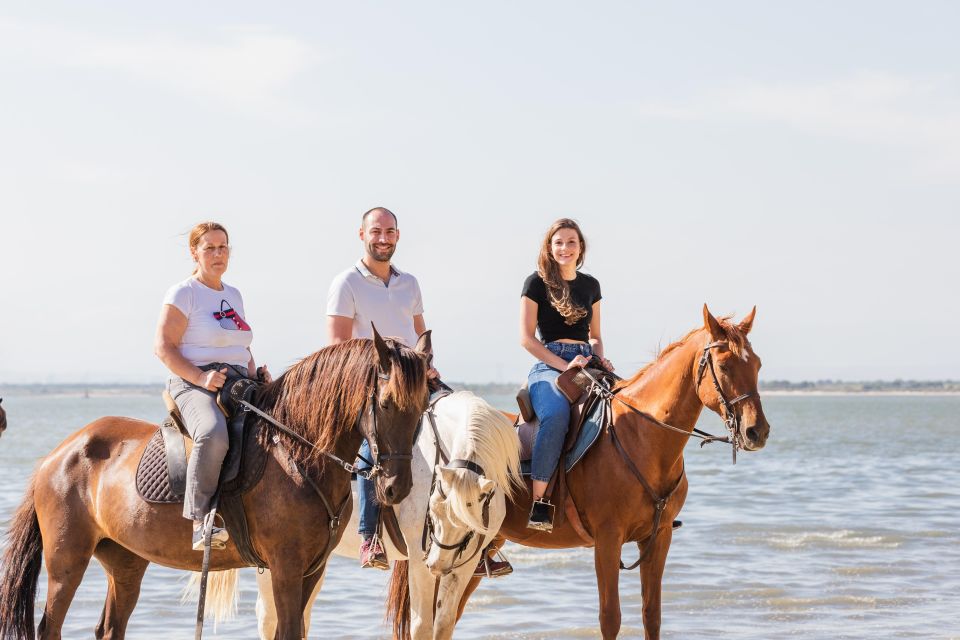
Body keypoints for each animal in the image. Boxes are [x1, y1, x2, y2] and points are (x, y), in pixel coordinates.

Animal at [0, 332, 428, 640]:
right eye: (385, 404)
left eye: (423, 405)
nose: (396, 487)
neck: (298, 453)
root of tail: (56, 455)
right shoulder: (286, 569)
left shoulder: (311, 569)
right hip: (66, 561)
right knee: (51, 626)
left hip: (125, 560)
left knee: (110, 627)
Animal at [255, 390, 520, 640]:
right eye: (433, 510)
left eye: (469, 524)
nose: (437, 565)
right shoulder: (418, 558)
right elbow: (422, 627)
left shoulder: (465, 565)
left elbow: (444, 625)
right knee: (269, 619)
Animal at [394, 304, 776, 640]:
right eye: (724, 366)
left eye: (758, 364)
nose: (757, 431)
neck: (641, 436)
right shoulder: (607, 539)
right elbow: (610, 618)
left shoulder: (659, 537)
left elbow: (651, 615)